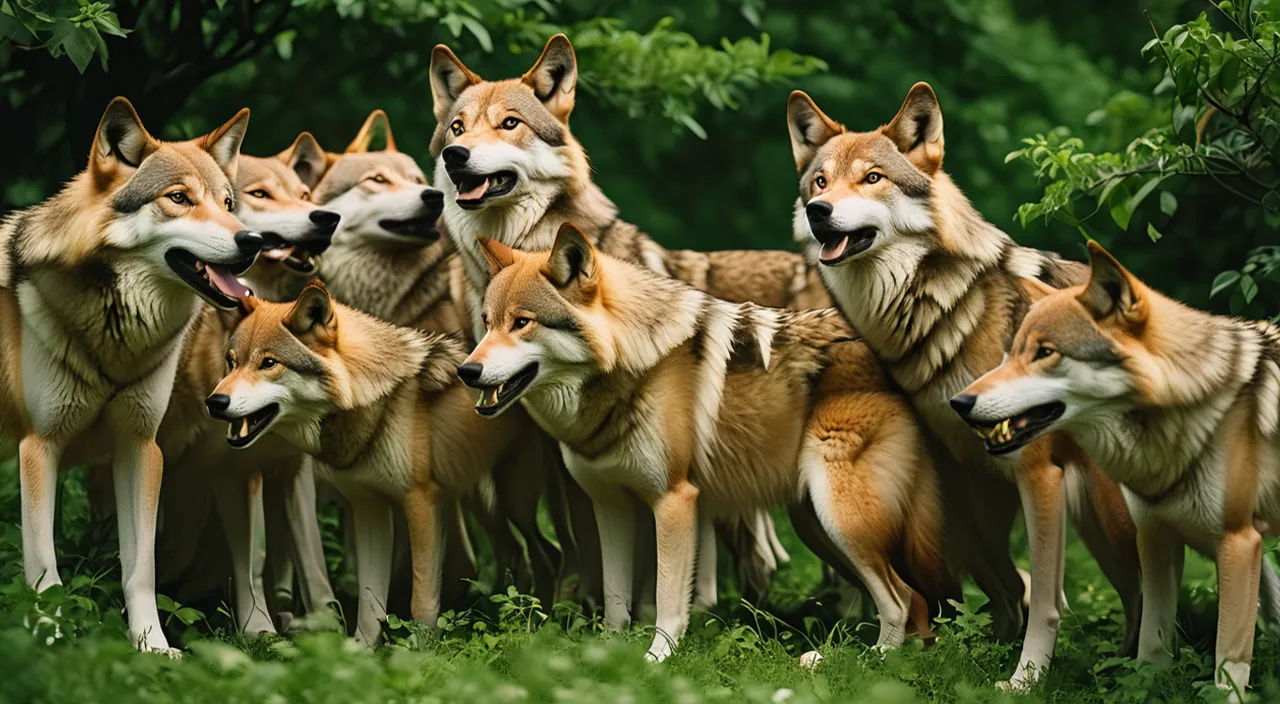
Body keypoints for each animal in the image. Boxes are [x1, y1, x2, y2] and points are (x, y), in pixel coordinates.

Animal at [0, 96, 263, 655]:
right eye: (179, 198)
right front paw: (52, 639)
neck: (115, 338)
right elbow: (45, 570)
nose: (252, 240)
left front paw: (152, 646)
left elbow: (141, 569)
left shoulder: (141, 447)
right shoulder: (39, 447)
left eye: (228, 203)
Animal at [203, 281, 540, 645]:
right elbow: (370, 598)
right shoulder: (369, 507)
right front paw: (361, 650)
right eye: (231, 362)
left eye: (268, 363)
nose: (215, 402)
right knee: (517, 557)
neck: (376, 400)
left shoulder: (420, 502)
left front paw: (418, 649)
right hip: (484, 501)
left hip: (514, 501)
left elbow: (420, 598)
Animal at [455, 227, 947, 665]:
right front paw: (606, 654)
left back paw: (869, 662)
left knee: (903, 599)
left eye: (522, 323)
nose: (466, 371)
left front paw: (656, 661)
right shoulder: (610, 506)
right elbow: (615, 598)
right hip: (818, 527)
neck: (631, 366)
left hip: (839, 519)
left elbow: (667, 598)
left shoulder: (675, 501)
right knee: (913, 602)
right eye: (488, 323)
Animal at [783, 84, 1146, 691]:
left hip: (1107, 518)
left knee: (1143, 592)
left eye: (872, 178)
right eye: (819, 182)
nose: (818, 212)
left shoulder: (1038, 472)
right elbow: (1008, 591)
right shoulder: (970, 477)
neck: (937, 310)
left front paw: (1024, 682)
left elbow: (1046, 601)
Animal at [957, 241, 1280, 696]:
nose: (959, 402)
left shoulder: (1239, 541)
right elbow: (1152, 646)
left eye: (1045, 353)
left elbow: (1227, 667)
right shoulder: (1156, 535)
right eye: (1011, 354)